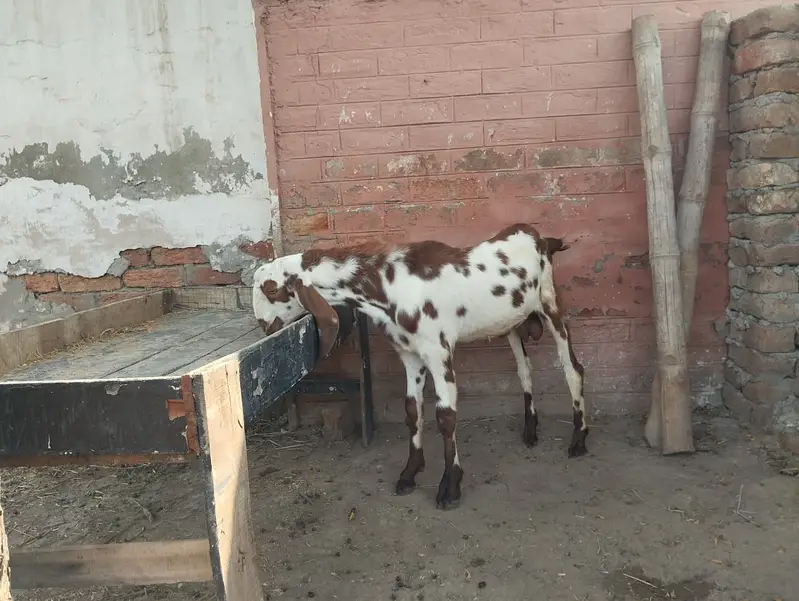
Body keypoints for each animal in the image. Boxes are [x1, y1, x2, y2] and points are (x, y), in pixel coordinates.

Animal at [252, 223, 587, 510]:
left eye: (272, 289)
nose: (265, 326)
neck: (388, 285)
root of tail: (542, 238)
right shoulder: (410, 355)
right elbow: (412, 410)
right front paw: (409, 473)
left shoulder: (438, 352)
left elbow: (446, 416)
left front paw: (450, 486)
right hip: (513, 323)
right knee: (524, 369)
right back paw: (530, 431)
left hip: (550, 304)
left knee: (572, 369)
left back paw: (579, 440)